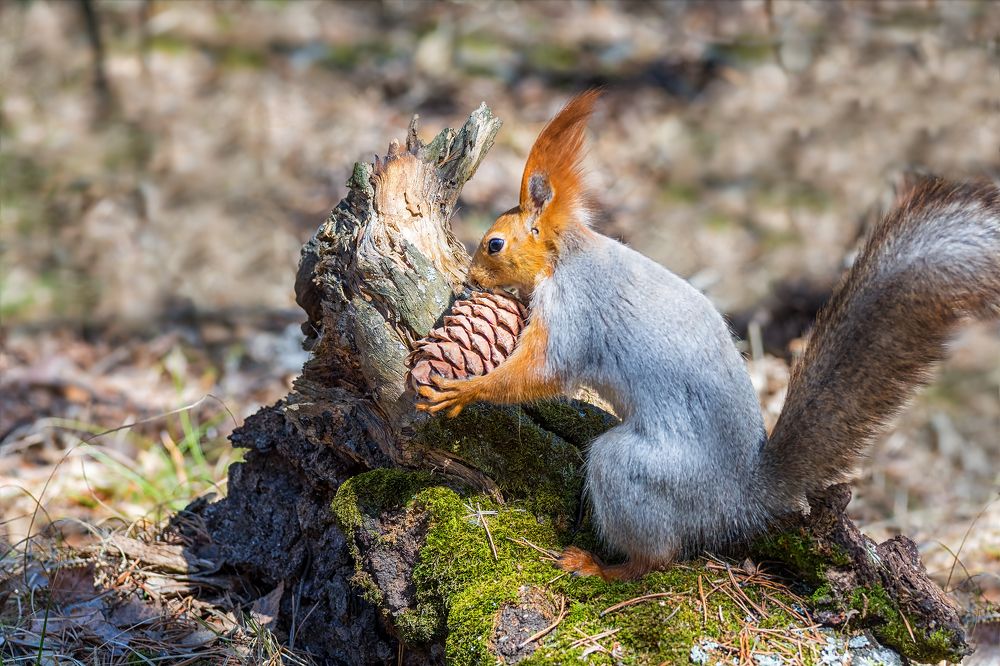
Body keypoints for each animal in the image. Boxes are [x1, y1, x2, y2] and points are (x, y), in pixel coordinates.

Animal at [417, 90, 1000, 581]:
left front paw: (464, 389)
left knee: (656, 557)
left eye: (494, 244)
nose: (470, 280)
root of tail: (741, 498)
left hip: (633, 472)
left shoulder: (575, 313)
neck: (569, 256)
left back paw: (601, 567)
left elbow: (541, 373)